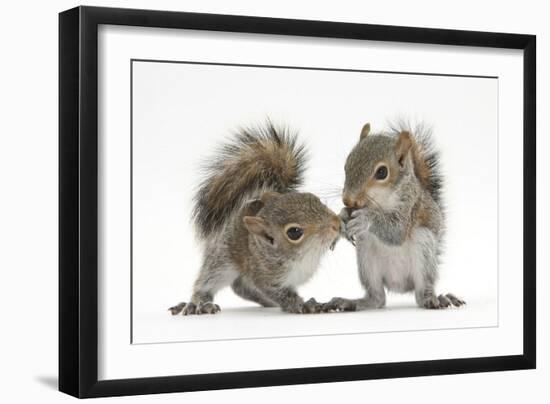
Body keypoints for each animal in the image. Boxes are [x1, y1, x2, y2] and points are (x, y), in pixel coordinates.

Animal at [168, 120, 342, 316]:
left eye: (315, 198)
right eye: (294, 232)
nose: (336, 223)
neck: (304, 256)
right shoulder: (264, 276)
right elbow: (280, 293)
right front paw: (301, 305)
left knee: (242, 287)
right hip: (221, 258)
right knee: (209, 281)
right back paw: (198, 303)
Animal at [326, 121, 468, 310]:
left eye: (382, 172)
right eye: (347, 164)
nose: (348, 199)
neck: (381, 200)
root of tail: (399, 285)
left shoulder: (409, 205)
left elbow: (396, 231)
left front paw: (365, 219)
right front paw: (342, 216)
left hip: (423, 248)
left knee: (421, 293)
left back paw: (434, 299)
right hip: (366, 257)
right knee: (378, 298)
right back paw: (351, 302)